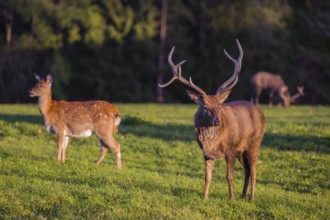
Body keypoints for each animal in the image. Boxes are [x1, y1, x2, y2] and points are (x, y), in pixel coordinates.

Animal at [159, 40, 266, 201]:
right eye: (205, 106)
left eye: (219, 106)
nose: (217, 121)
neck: (213, 142)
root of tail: (261, 112)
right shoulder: (207, 154)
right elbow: (207, 177)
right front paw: (205, 197)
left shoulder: (230, 150)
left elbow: (229, 177)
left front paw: (231, 198)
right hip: (242, 150)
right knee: (247, 170)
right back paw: (243, 195)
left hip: (255, 143)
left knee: (253, 170)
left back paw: (251, 197)